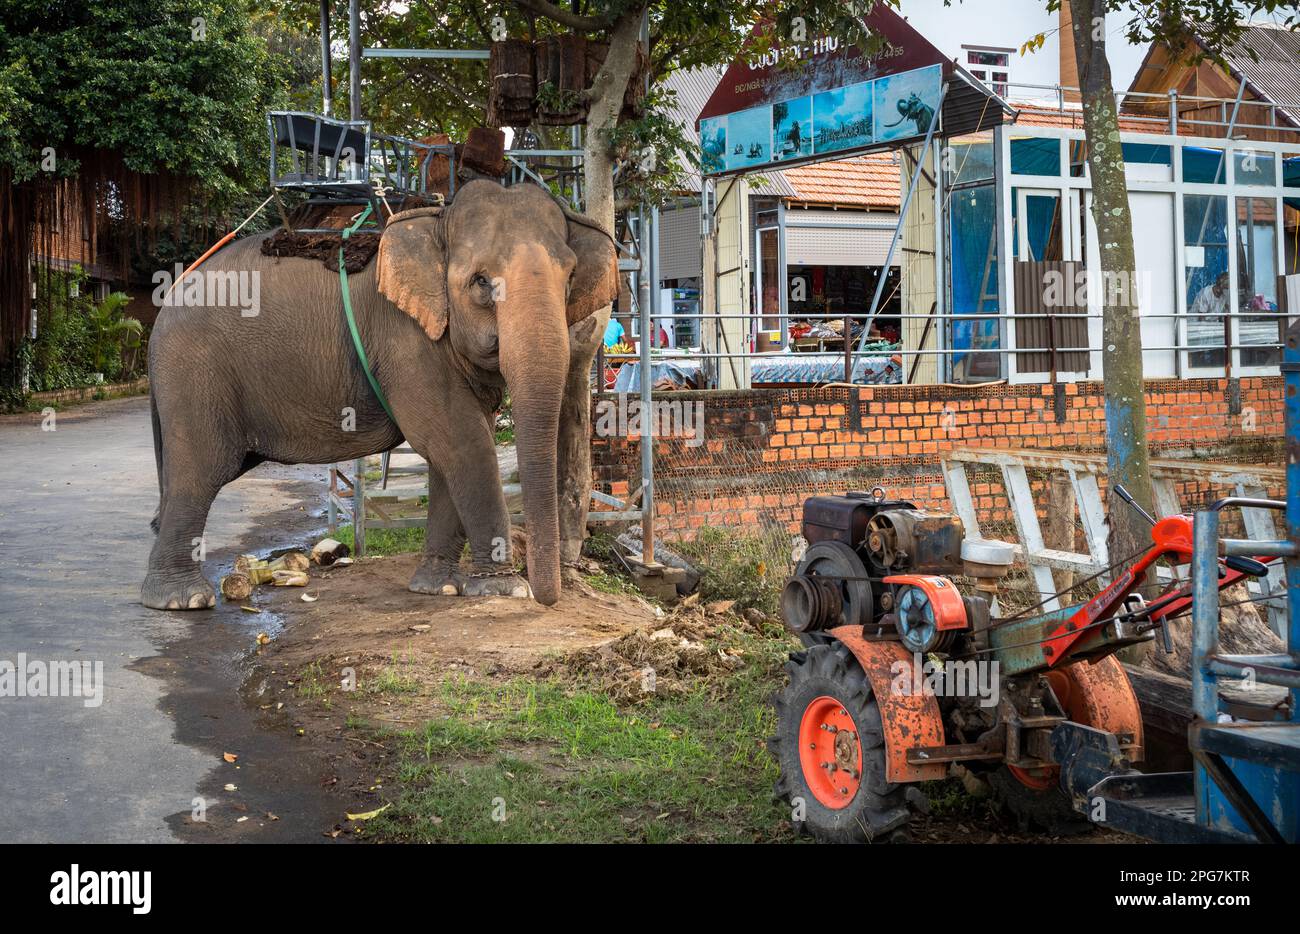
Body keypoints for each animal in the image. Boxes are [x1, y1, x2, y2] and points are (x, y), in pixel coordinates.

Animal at [142, 179, 618, 610]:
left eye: (570, 277)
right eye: (481, 282)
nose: (549, 600)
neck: (436, 220)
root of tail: (164, 306)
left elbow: (454, 450)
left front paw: (437, 588)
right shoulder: (404, 340)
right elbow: (461, 441)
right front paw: (505, 590)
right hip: (193, 374)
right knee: (200, 472)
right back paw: (183, 600)